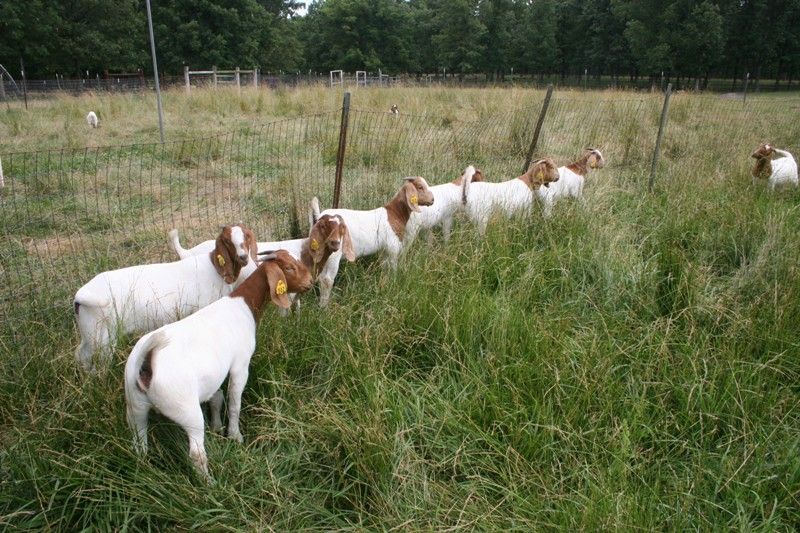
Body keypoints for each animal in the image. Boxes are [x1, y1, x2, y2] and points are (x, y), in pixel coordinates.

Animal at [74, 224, 258, 371]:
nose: (243, 257)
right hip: (103, 338)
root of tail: (80, 296)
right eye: (227, 240)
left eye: (247, 236)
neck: (214, 267)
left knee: (81, 354)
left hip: (90, 333)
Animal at [124, 250, 313, 481]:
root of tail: (148, 356)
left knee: (139, 442)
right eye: (289, 268)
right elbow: (234, 402)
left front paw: (217, 427)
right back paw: (210, 482)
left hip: (135, 406)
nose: (310, 281)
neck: (242, 304)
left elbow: (217, 398)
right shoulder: (240, 364)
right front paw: (235, 436)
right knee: (196, 453)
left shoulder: (213, 378)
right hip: (185, 409)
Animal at [310, 176, 434, 305]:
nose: (432, 200)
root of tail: (320, 218)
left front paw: (385, 283)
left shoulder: (384, 250)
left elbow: (385, 268)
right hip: (333, 254)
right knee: (327, 279)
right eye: (420, 187)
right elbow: (393, 268)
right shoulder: (392, 248)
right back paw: (324, 306)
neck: (394, 214)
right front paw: (394, 283)